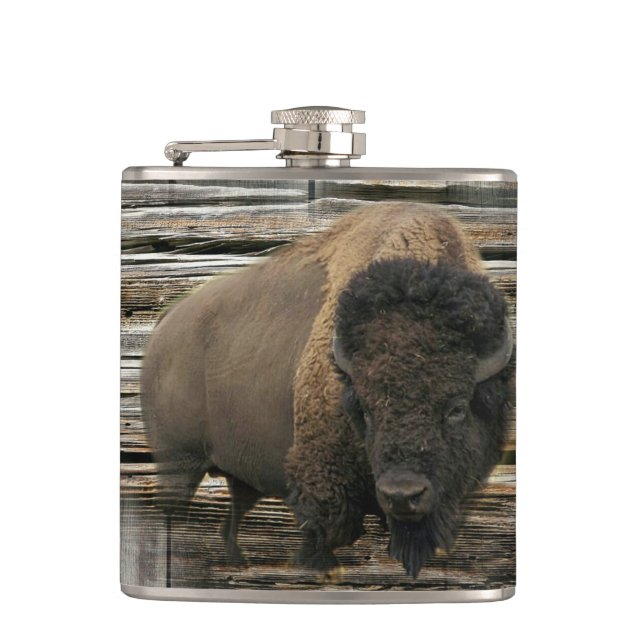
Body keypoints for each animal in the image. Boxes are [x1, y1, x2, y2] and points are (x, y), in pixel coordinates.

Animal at [142, 203, 514, 579]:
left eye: (457, 408)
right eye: (364, 409)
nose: (402, 494)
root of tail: (164, 325)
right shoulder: (323, 484)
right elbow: (324, 536)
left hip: (234, 473)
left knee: (230, 520)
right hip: (179, 463)